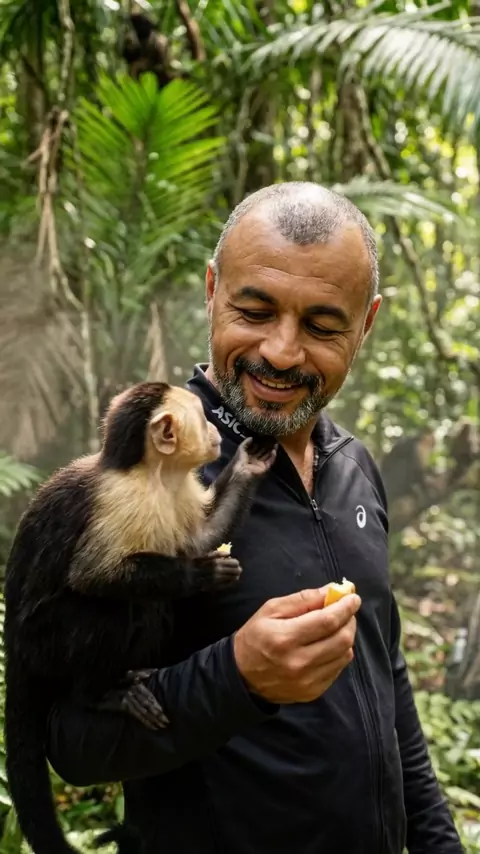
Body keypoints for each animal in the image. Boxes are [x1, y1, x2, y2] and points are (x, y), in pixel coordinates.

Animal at [3, 381, 277, 854]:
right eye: (201, 418)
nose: (216, 434)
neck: (153, 473)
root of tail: (14, 647)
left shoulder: (178, 491)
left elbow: (202, 534)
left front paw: (247, 464)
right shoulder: (124, 500)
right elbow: (94, 575)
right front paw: (199, 574)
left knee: (153, 608)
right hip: (42, 644)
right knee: (111, 609)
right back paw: (98, 694)